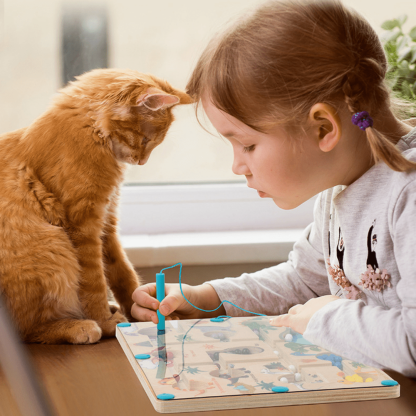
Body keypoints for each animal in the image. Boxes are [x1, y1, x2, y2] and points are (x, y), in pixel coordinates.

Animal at [0, 68, 192, 344]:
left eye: (153, 142)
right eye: (146, 139)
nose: (142, 162)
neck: (93, 134)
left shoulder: (106, 223)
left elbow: (123, 275)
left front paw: (147, 309)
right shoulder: (83, 225)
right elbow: (94, 284)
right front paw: (106, 321)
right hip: (51, 246)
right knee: (28, 330)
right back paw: (79, 326)